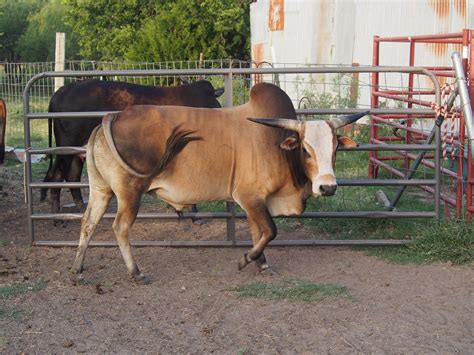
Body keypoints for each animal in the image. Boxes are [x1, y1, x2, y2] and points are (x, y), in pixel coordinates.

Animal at [41, 80, 224, 214]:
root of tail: (61, 91)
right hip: (65, 147)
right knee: (57, 175)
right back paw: (57, 214)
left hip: (77, 151)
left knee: (71, 175)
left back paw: (79, 208)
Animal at [71, 83, 366, 284]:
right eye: (305, 149)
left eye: (335, 148)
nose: (328, 187)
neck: (276, 144)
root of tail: (112, 117)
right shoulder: (250, 197)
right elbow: (270, 231)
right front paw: (246, 259)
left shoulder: (255, 202)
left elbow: (258, 233)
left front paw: (260, 263)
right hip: (129, 193)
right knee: (119, 227)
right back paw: (136, 272)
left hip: (101, 190)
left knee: (88, 223)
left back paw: (77, 269)